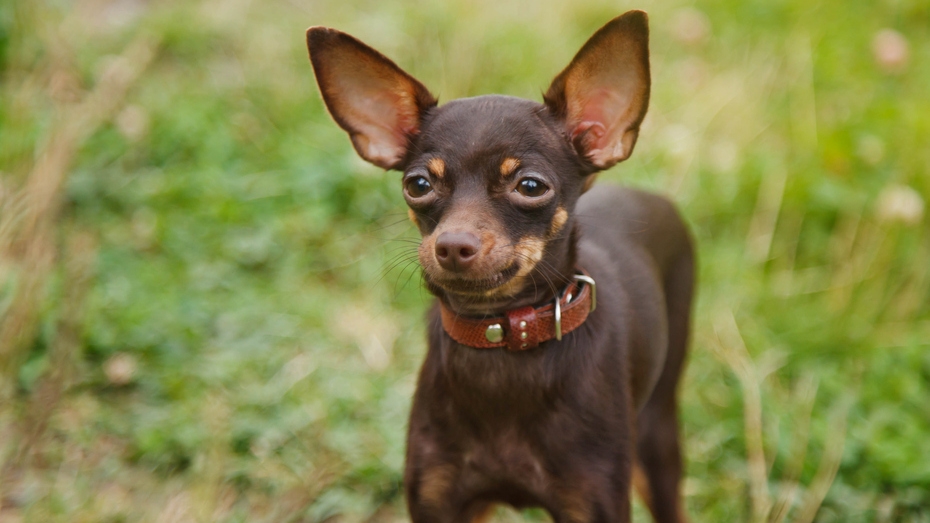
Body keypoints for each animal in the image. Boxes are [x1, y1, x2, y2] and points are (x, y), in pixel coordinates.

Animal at [308, 10, 692, 520]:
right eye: (418, 184)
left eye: (530, 186)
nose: (452, 245)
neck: (499, 338)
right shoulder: (439, 501)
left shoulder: (594, 503)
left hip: (657, 434)